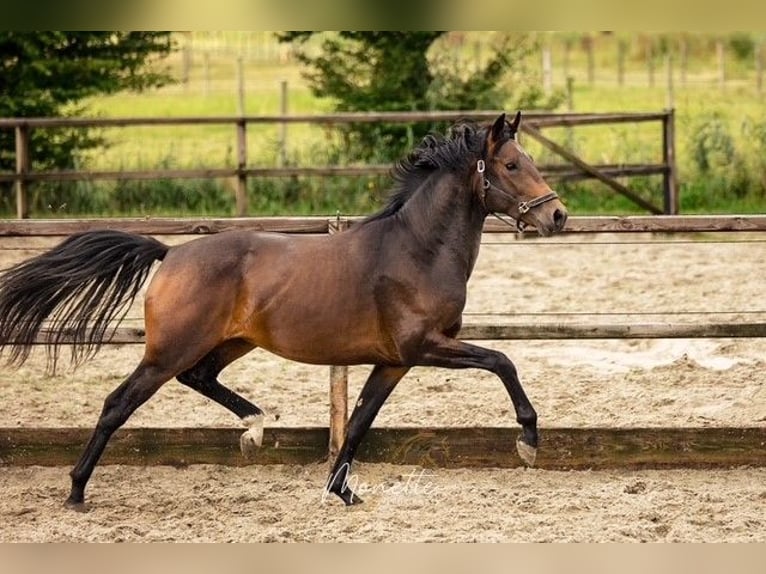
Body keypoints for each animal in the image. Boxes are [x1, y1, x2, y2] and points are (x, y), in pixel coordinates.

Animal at [0, 112, 568, 508]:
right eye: (512, 165)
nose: (558, 216)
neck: (417, 249)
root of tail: (171, 252)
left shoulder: (393, 362)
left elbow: (358, 423)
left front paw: (342, 492)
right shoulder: (425, 346)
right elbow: (502, 361)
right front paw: (529, 441)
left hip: (230, 342)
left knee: (199, 378)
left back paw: (255, 427)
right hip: (169, 351)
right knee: (117, 404)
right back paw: (76, 492)